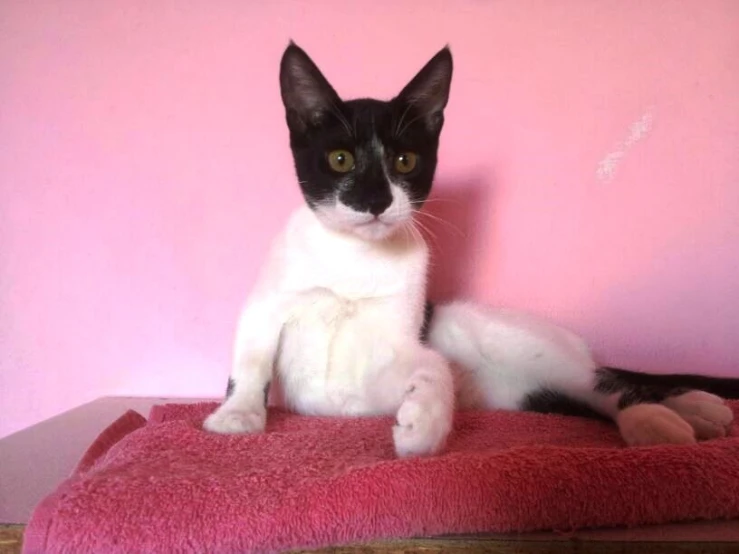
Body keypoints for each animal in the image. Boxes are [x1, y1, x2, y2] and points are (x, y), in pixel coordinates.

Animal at [204, 42, 739, 458]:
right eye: (339, 159)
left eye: (405, 160)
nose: (375, 200)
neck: (354, 259)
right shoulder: (272, 310)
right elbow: (251, 359)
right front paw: (238, 414)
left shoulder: (400, 342)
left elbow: (432, 364)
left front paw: (425, 423)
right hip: (527, 393)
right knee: (584, 394)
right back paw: (688, 412)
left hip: (521, 346)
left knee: (607, 381)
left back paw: (666, 415)